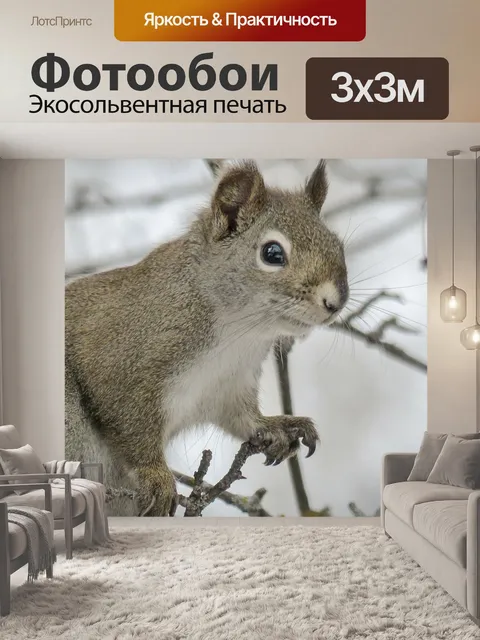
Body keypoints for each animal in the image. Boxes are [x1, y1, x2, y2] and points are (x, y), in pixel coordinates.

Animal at [65, 160, 349, 516]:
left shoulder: (229, 386)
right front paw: (156, 476)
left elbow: (244, 419)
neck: (239, 333)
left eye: (338, 245)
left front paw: (278, 426)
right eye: (272, 253)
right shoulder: (120, 365)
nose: (335, 303)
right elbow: (132, 428)